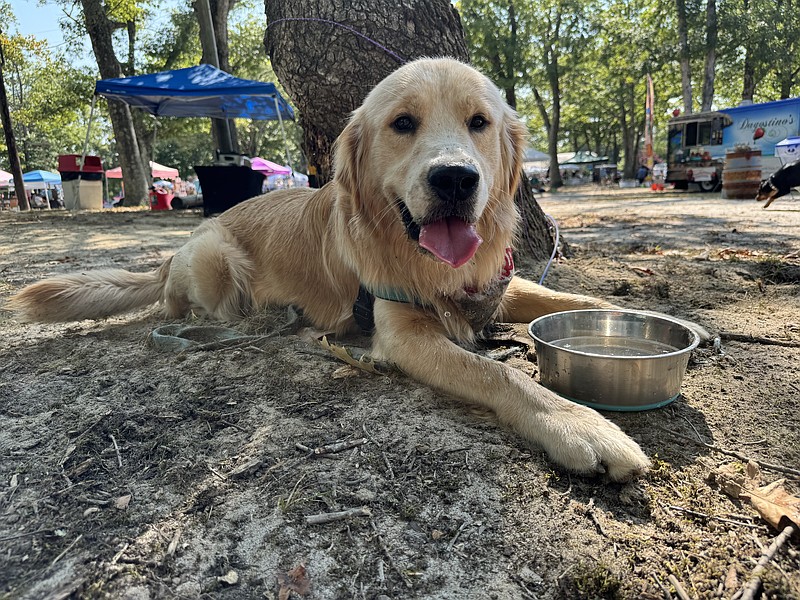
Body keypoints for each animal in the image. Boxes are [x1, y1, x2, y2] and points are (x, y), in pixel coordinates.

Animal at [7, 59, 700, 482]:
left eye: (478, 122)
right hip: (213, 259)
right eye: (403, 124)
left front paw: (673, 324)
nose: (455, 179)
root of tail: (177, 250)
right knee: (186, 307)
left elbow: (573, 301)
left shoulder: (492, 286)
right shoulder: (404, 332)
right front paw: (580, 424)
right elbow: (501, 374)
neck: (415, 255)